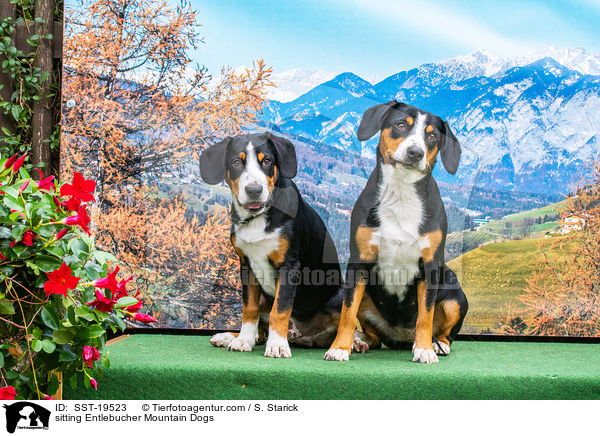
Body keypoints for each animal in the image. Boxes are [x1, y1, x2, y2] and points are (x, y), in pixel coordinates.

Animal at [200, 132, 344, 358]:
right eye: (236, 162)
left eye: (266, 161)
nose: (254, 190)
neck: (257, 218)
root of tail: (302, 336)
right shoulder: (246, 265)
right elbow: (249, 308)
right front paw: (243, 340)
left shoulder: (289, 266)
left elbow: (281, 309)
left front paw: (277, 345)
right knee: (260, 327)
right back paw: (229, 337)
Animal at [324, 102, 468, 364]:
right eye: (401, 125)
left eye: (432, 135)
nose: (415, 153)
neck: (401, 196)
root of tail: (401, 337)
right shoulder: (359, 262)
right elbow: (347, 312)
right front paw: (339, 347)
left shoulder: (430, 265)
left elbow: (426, 315)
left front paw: (425, 350)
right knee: (372, 334)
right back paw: (359, 342)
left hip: (454, 292)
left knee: (444, 332)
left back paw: (437, 344)